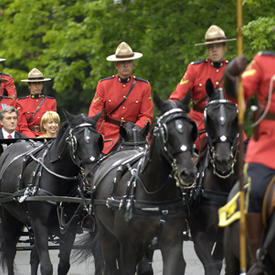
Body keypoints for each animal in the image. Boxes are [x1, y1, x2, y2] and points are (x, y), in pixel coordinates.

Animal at [0, 111, 104, 275]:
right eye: (76, 141)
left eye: (98, 140)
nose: (92, 174)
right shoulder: (39, 224)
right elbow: (47, 267)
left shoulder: (69, 228)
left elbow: (63, 265)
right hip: (9, 218)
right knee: (10, 252)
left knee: (34, 256)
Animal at [92, 92, 198, 275]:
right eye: (166, 132)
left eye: (192, 130)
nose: (188, 173)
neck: (155, 195)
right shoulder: (128, 247)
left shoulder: (172, 243)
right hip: (107, 236)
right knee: (110, 264)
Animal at [190, 79, 242, 275]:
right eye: (208, 117)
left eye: (235, 117)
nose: (223, 160)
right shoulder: (199, 235)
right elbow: (211, 265)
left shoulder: (223, 234)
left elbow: (218, 263)